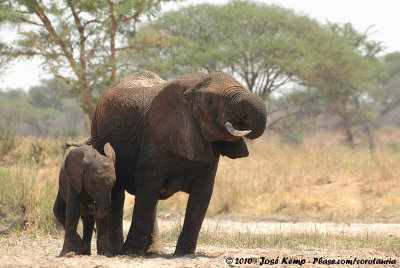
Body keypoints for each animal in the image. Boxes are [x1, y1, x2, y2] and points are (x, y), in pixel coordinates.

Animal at [90, 70, 266, 256]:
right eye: (210, 100)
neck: (192, 86)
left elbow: (202, 193)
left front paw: (184, 254)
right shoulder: (154, 135)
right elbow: (148, 185)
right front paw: (130, 253)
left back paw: (153, 252)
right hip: (99, 134)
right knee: (119, 192)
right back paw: (115, 251)